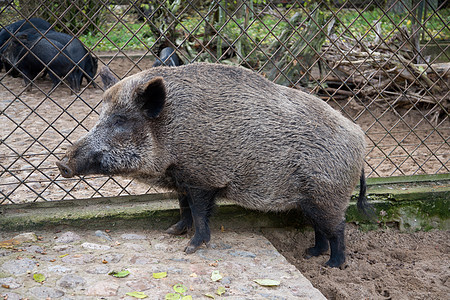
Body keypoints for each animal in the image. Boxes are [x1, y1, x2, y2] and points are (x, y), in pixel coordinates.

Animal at [58, 63, 370, 268]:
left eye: (121, 120)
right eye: (101, 115)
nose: (62, 163)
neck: (172, 131)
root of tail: (360, 138)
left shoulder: (203, 178)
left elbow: (199, 212)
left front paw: (190, 248)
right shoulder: (182, 180)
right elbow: (183, 208)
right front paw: (172, 232)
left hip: (328, 195)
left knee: (338, 228)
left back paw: (333, 266)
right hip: (310, 200)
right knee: (319, 229)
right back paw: (310, 254)